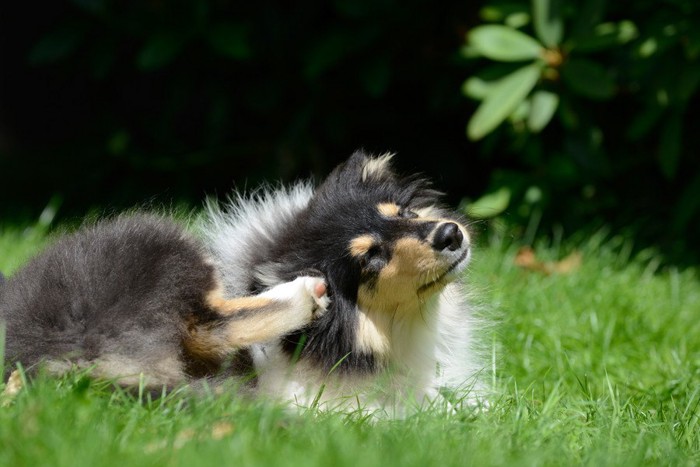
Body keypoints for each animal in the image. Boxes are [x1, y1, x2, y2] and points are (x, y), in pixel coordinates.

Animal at [1, 152, 486, 414]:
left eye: (403, 214)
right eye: (371, 256)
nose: (451, 234)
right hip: (156, 239)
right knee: (207, 325)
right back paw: (302, 294)